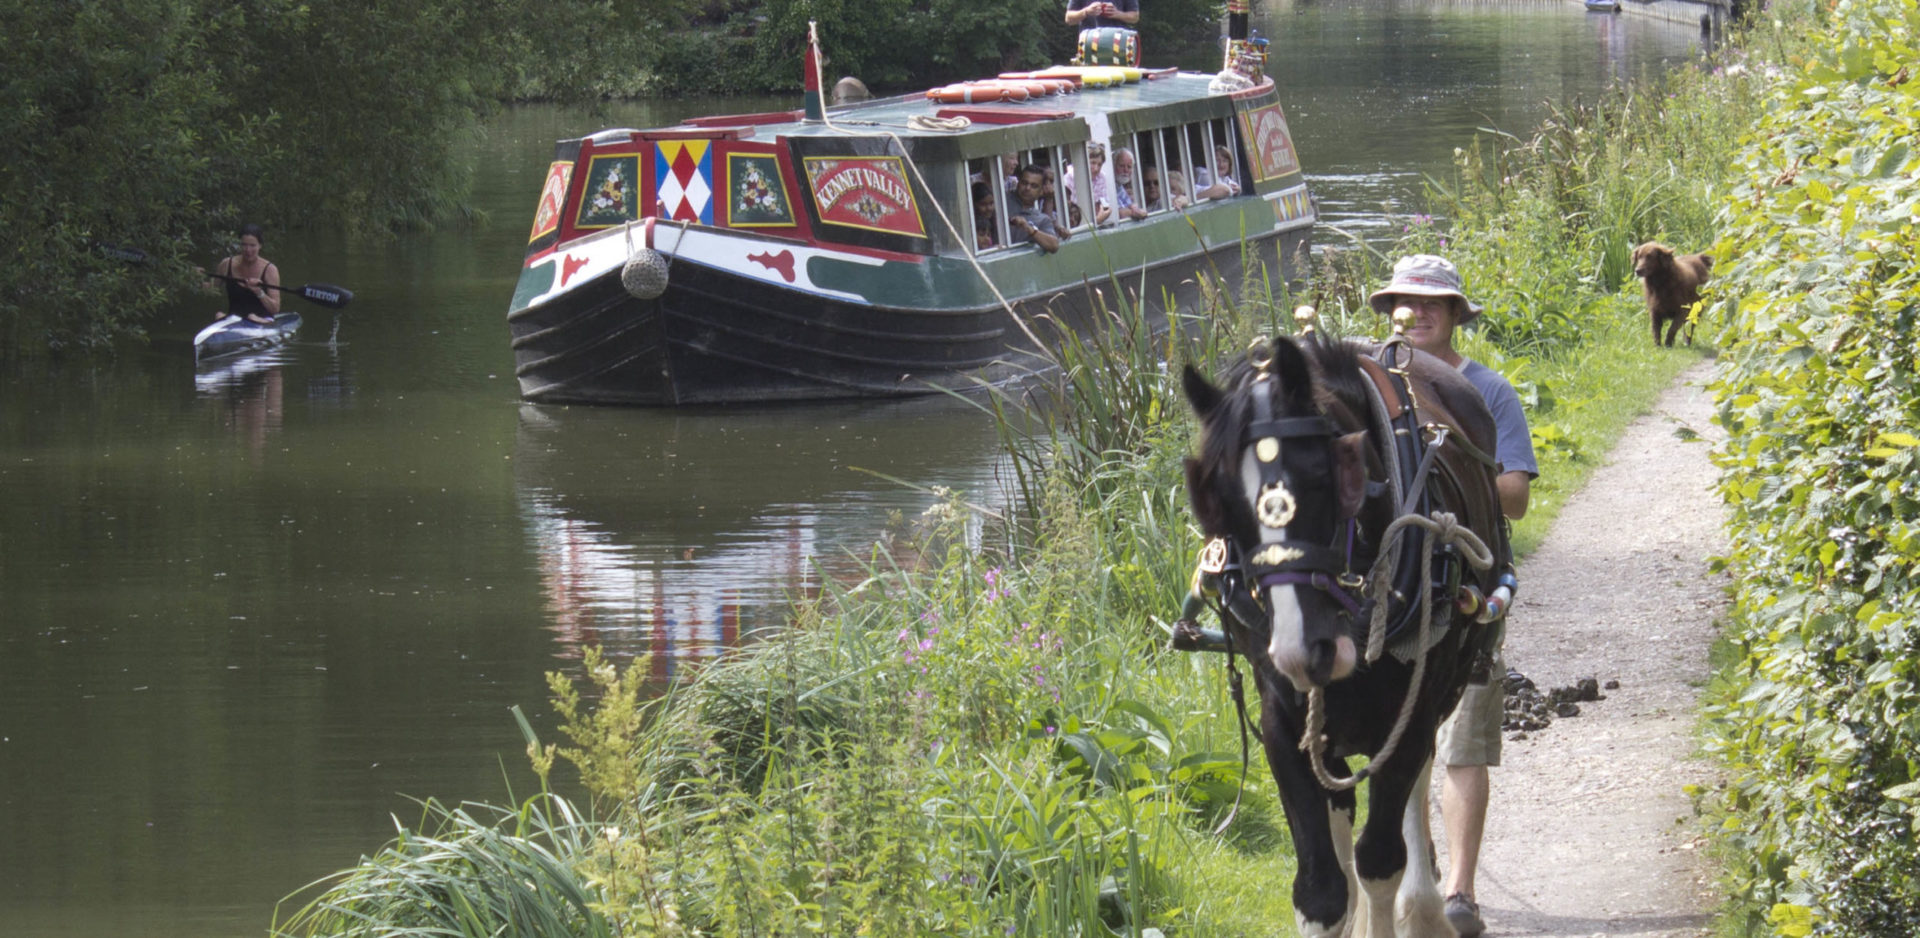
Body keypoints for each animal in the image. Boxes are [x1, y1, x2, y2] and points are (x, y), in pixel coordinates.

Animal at [1167, 331, 1512, 932]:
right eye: (1222, 502)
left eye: (1326, 478)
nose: (1303, 647)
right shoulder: (1282, 725)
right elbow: (1322, 890)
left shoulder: (1412, 713)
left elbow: (1380, 860)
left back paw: (1422, 909)